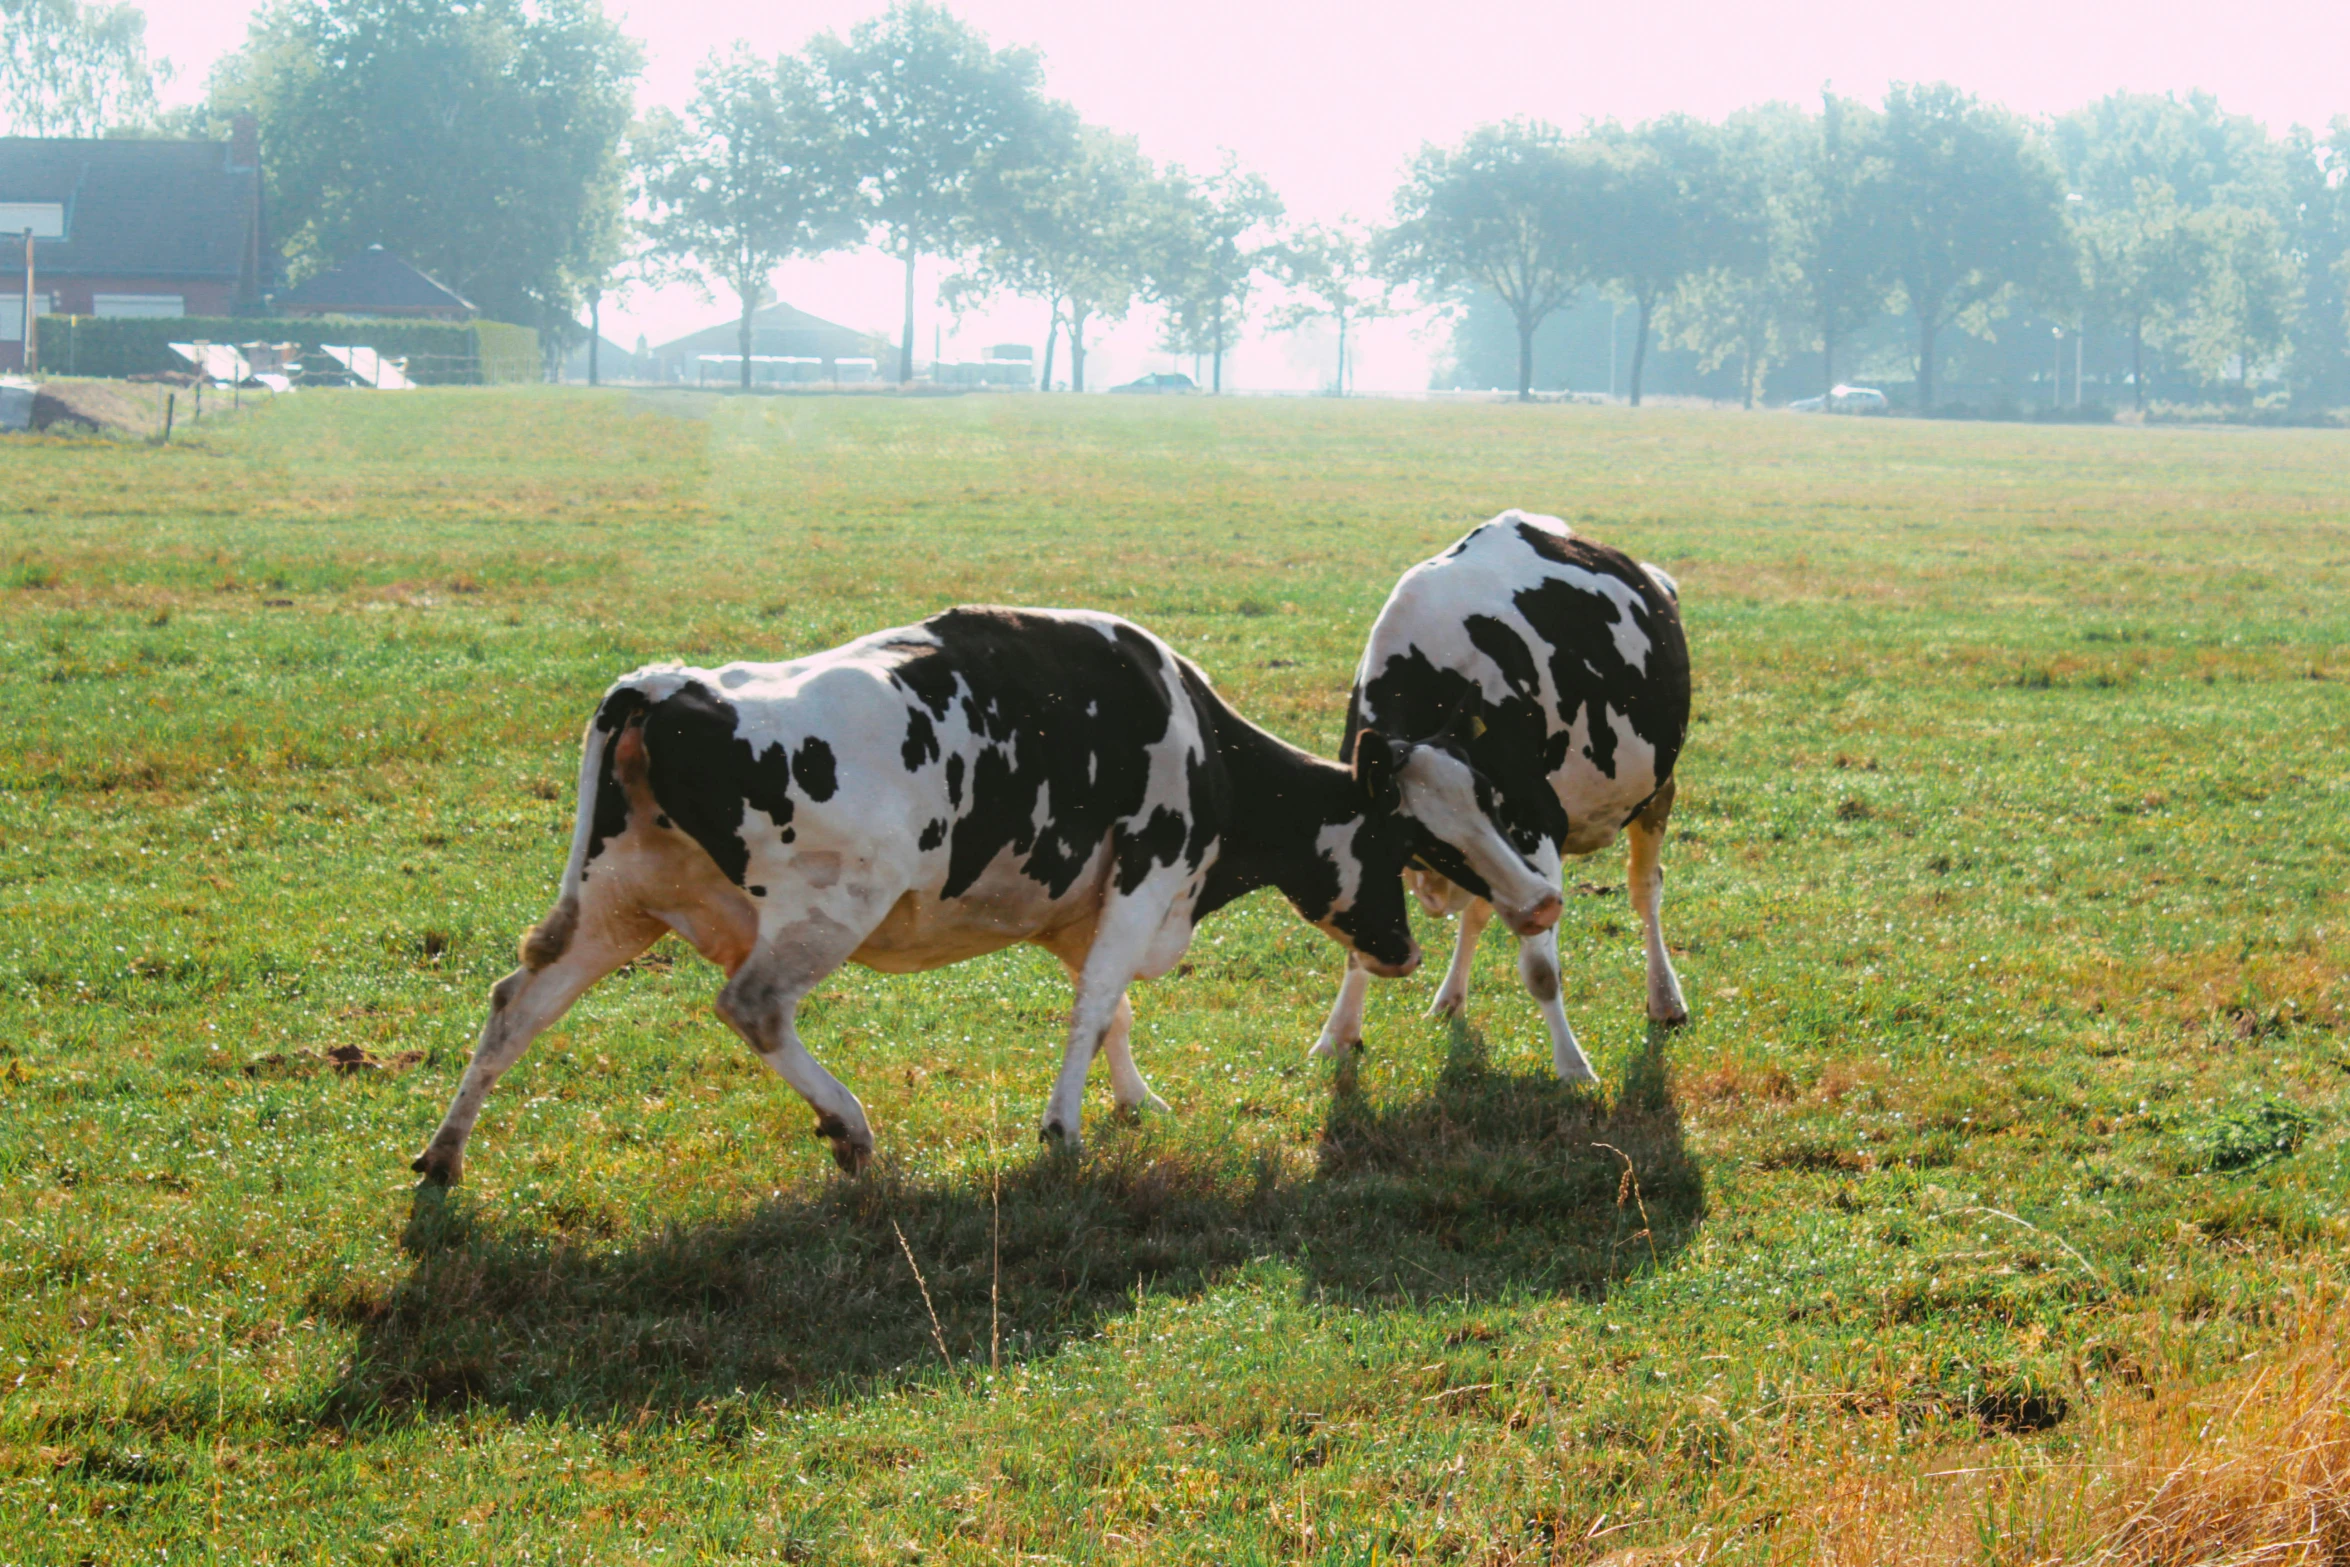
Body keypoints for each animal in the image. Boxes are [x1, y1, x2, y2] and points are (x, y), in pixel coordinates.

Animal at [418, 606, 1560, 1184]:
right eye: (1409, 838)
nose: (1403, 953)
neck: (1205, 749)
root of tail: (665, 686)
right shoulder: (1144, 875)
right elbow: (1096, 1006)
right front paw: (1064, 1128)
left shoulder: (1079, 908)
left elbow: (1114, 1011)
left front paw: (1136, 1099)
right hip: (822, 912)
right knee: (752, 1005)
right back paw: (850, 1124)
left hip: (613, 903)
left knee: (514, 1004)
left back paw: (443, 1156)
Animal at [1325, 509, 1691, 1085]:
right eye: (1420, 836)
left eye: (1491, 796)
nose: (1542, 905)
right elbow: (1362, 943)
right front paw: (1338, 1034)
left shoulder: (1537, 821)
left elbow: (1541, 969)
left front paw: (1573, 1066)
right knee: (1480, 911)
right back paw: (1449, 999)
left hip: (1658, 789)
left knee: (1645, 890)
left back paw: (1665, 1000)